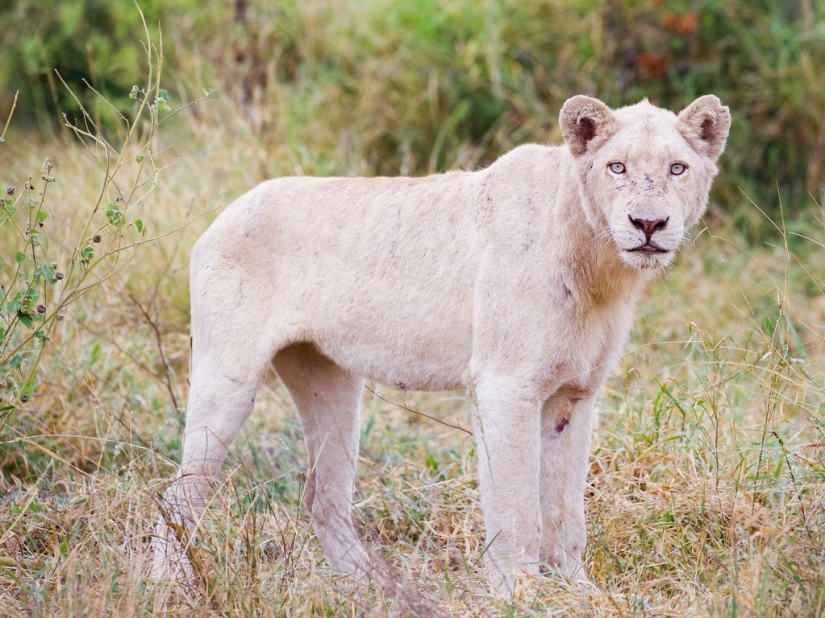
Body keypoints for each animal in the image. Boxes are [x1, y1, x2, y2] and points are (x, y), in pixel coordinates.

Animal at [153, 95, 728, 592]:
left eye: (677, 168)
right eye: (617, 168)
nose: (648, 223)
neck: (599, 265)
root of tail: (226, 212)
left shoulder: (574, 394)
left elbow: (565, 507)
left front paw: (574, 589)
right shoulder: (504, 386)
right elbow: (517, 503)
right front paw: (519, 592)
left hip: (328, 379)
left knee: (324, 496)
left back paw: (376, 588)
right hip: (228, 373)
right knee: (181, 490)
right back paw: (167, 586)